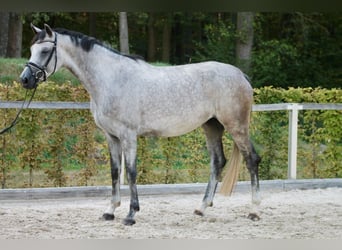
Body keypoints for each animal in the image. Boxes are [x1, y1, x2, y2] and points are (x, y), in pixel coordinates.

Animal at [20, 24, 260, 226]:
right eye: (31, 49)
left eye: (44, 51)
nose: (25, 80)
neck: (112, 79)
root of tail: (241, 75)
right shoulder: (111, 136)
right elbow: (115, 171)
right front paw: (110, 211)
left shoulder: (128, 135)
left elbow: (132, 172)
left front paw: (131, 214)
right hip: (211, 126)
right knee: (217, 162)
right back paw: (201, 208)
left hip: (236, 127)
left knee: (252, 160)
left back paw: (254, 211)